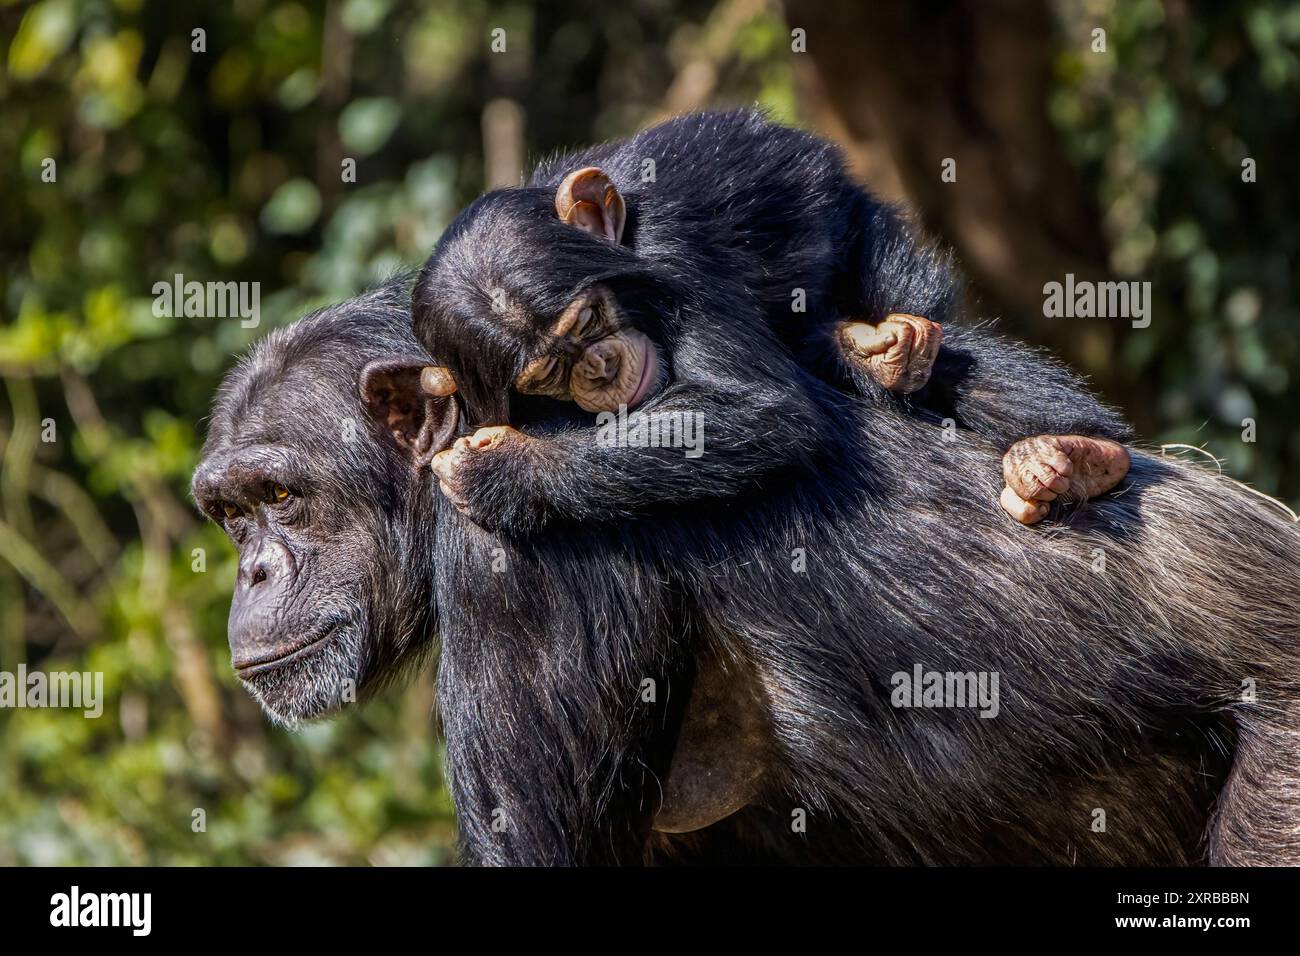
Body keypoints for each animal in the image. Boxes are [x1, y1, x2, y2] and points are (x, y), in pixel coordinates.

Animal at [413, 113, 1128, 530]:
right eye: (548, 374)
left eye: (588, 320)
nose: (599, 364)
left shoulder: (675, 258)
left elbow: (759, 407)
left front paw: (502, 472)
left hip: (859, 218)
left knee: (933, 356)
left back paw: (1073, 452)